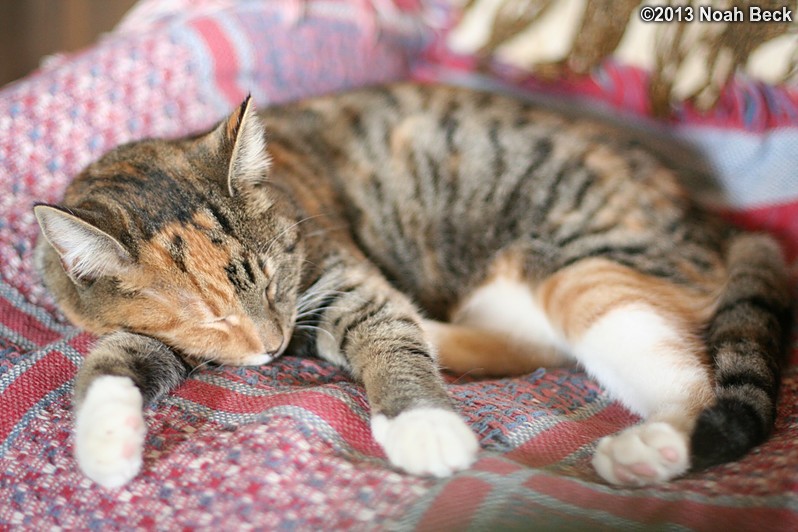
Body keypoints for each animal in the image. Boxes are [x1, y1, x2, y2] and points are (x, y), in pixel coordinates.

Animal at [32, 82, 792, 486]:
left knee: (680, 373)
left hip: (586, 261)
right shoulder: (142, 330)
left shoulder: (342, 278)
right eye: (210, 317)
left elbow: (386, 335)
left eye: (276, 281)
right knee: (534, 344)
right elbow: (115, 358)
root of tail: (706, 217)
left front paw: (423, 424)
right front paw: (105, 440)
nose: (273, 347)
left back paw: (652, 448)